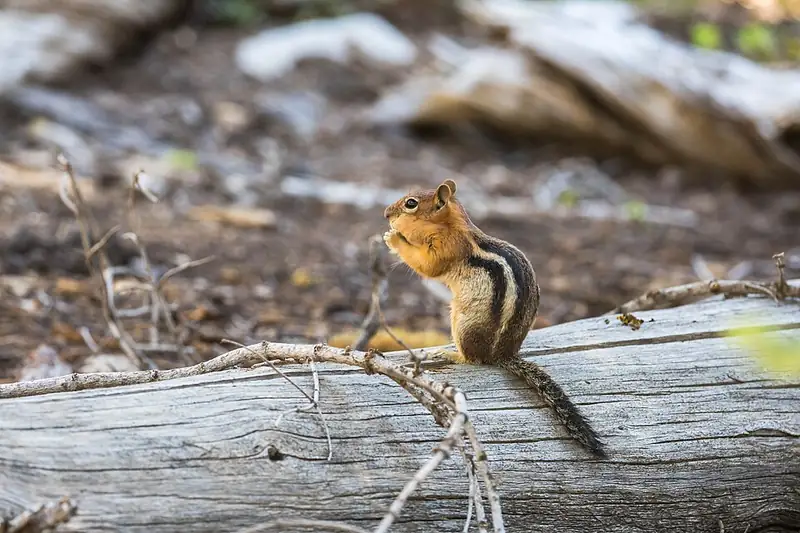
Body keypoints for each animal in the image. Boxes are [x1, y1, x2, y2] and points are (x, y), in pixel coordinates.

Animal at [383, 178, 606, 458]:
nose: (386, 214)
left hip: (463, 322)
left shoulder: (447, 248)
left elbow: (428, 266)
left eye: (410, 204)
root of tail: (503, 355)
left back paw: (450, 354)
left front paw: (394, 238)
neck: (450, 225)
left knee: (475, 360)